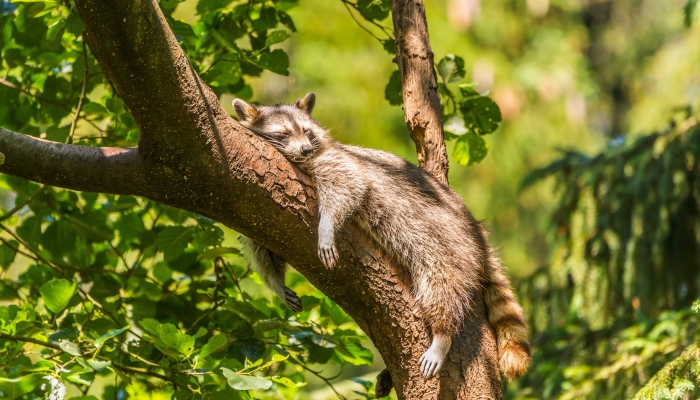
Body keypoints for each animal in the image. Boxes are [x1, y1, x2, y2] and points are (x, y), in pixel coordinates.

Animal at [232, 94, 528, 384]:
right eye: (283, 134)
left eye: (307, 131)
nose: (305, 149)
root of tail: (475, 228)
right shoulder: (257, 204)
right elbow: (261, 243)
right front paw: (276, 282)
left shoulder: (336, 161)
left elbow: (349, 185)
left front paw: (326, 226)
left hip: (449, 241)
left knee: (442, 284)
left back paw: (443, 333)